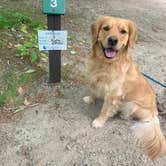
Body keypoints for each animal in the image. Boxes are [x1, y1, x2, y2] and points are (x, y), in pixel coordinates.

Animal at [83, 15, 166, 160]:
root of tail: (155, 112)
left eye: (123, 31)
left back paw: (121, 114)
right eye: (106, 28)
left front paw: (99, 122)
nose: (113, 40)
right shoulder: (94, 79)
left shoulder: (113, 94)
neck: (106, 63)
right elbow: (93, 90)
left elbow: (104, 110)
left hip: (132, 105)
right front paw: (90, 99)